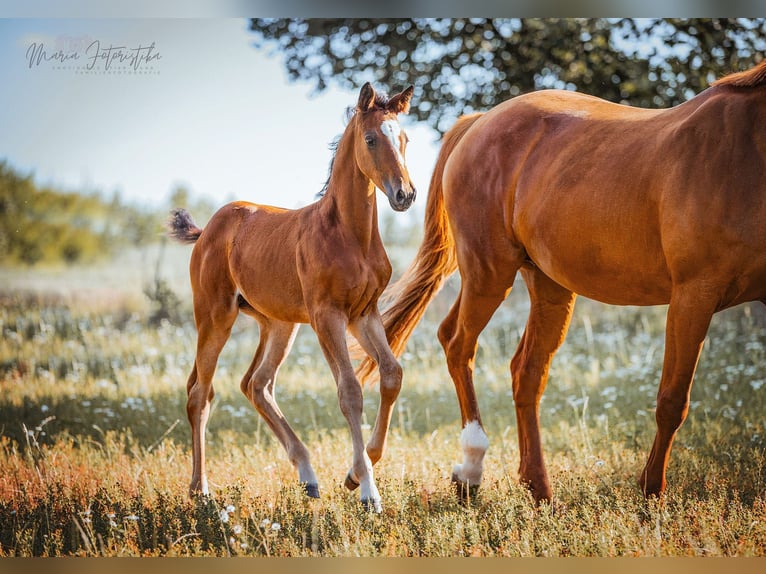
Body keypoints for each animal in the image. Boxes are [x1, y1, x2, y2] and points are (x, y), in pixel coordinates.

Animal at [170, 82, 416, 512]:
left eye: (403, 139)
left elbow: (391, 374)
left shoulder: (363, 314)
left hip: (279, 324)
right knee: (201, 393)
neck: (349, 235)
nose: (405, 194)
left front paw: (354, 475)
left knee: (256, 384)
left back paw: (308, 477)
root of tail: (208, 229)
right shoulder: (326, 316)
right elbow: (350, 392)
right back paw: (201, 490)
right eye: (371, 139)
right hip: (214, 316)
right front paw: (368, 492)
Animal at [360, 60, 766, 504]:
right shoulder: (695, 294)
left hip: (548, 285)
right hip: (489, 274)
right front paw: (650, 493)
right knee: (457, 343)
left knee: (526, 372)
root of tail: (479, 122)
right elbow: (672, 400)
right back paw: (471, 471)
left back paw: (537, 486)